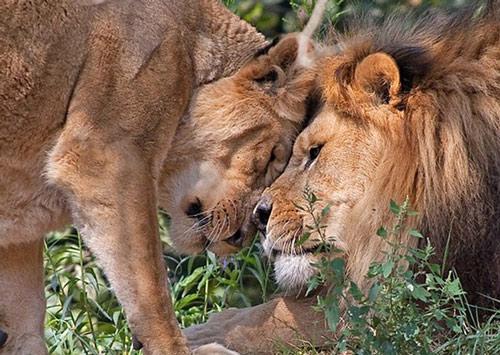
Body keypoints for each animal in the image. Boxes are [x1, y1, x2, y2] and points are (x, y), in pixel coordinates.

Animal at [0, 1, 316, 354]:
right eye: (273, 156)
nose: (242, 238)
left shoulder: (18, 228)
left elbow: (25, 321)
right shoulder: (105, 161)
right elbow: (151, 292)